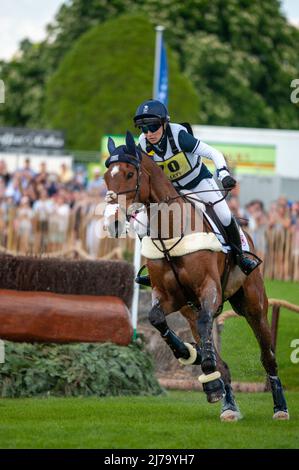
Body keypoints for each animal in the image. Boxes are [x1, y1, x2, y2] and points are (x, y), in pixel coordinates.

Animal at [104, 130, 290, 420]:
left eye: (129, 174)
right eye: (105, 176)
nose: (112, 222)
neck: (170, 233)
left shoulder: (208, 288)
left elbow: (205, 325)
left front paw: (205, 366)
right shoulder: (170, 297)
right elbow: (157, 319)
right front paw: (188, 354)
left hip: (253, 305)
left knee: (267, 355)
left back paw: (279, 407)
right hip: (189, 310)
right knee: (216, 353)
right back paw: (227, 404)